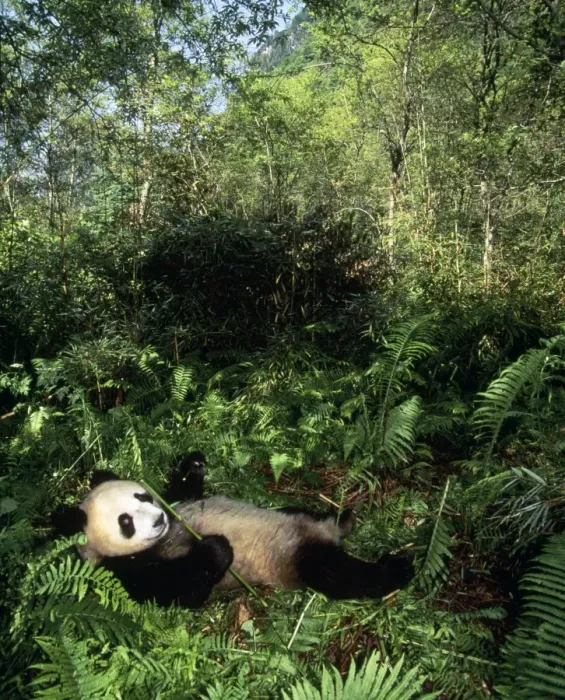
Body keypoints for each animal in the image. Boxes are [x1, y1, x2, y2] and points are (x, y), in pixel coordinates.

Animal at [52, 452, 414, 609]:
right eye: (125, 522)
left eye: (143, 496)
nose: (157, 521)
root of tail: (325, 535)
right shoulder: (123, 572)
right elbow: (179, 590)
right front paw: (216, 548)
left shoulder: (178, 507)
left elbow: (183, 493)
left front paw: (194, 463)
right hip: (295, 558)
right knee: (337, 574)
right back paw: (396, 568)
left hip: (291, 516)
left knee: (302, 514)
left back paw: (342, 518)